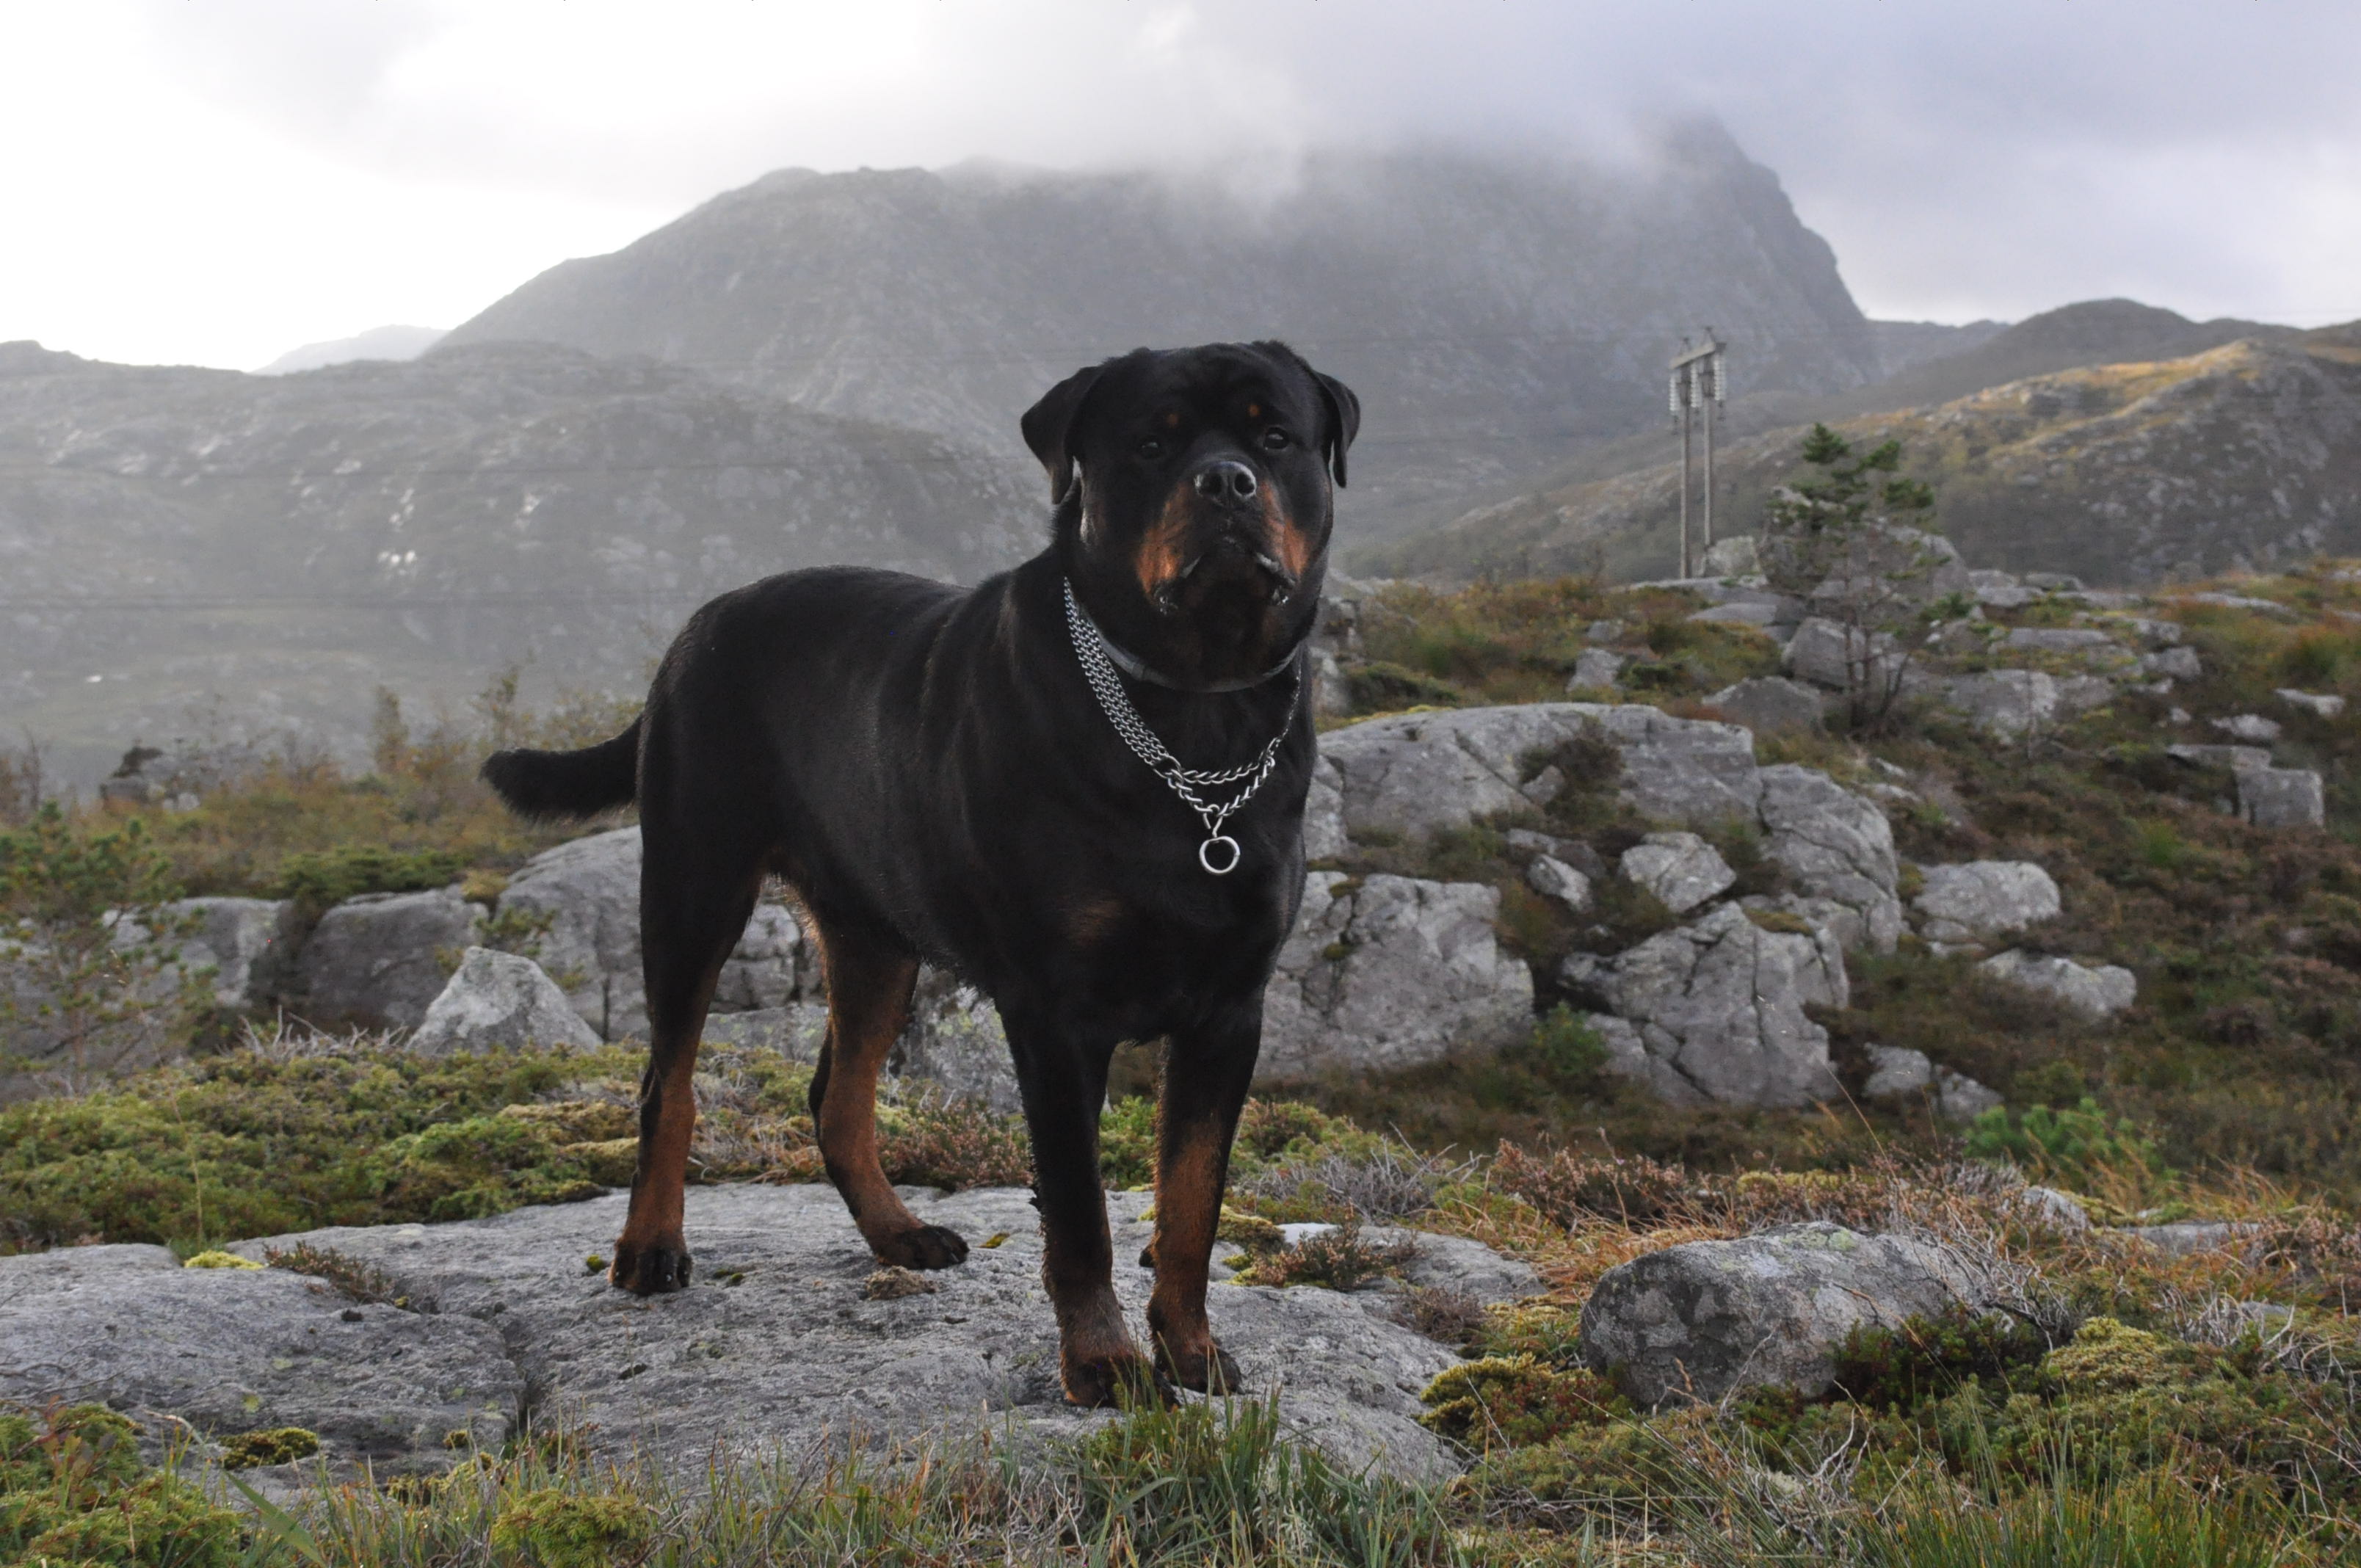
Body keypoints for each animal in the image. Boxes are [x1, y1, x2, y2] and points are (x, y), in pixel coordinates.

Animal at [482, 341, 1358, 1405]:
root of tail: (693, 633)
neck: (1192, 720)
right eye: (1152, 445)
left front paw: (1190, 1350)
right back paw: (651, 1246)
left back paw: (897, 1234)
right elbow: (1080, 1214)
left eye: (1275, 437)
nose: (1225, 481)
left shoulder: (1229, 1012)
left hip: (873, 938)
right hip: (695, 888)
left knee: (837, 1098)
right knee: (668, 1082)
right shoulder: (1055, 1016)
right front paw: (1103, 1362)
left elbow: (1192, 1201)